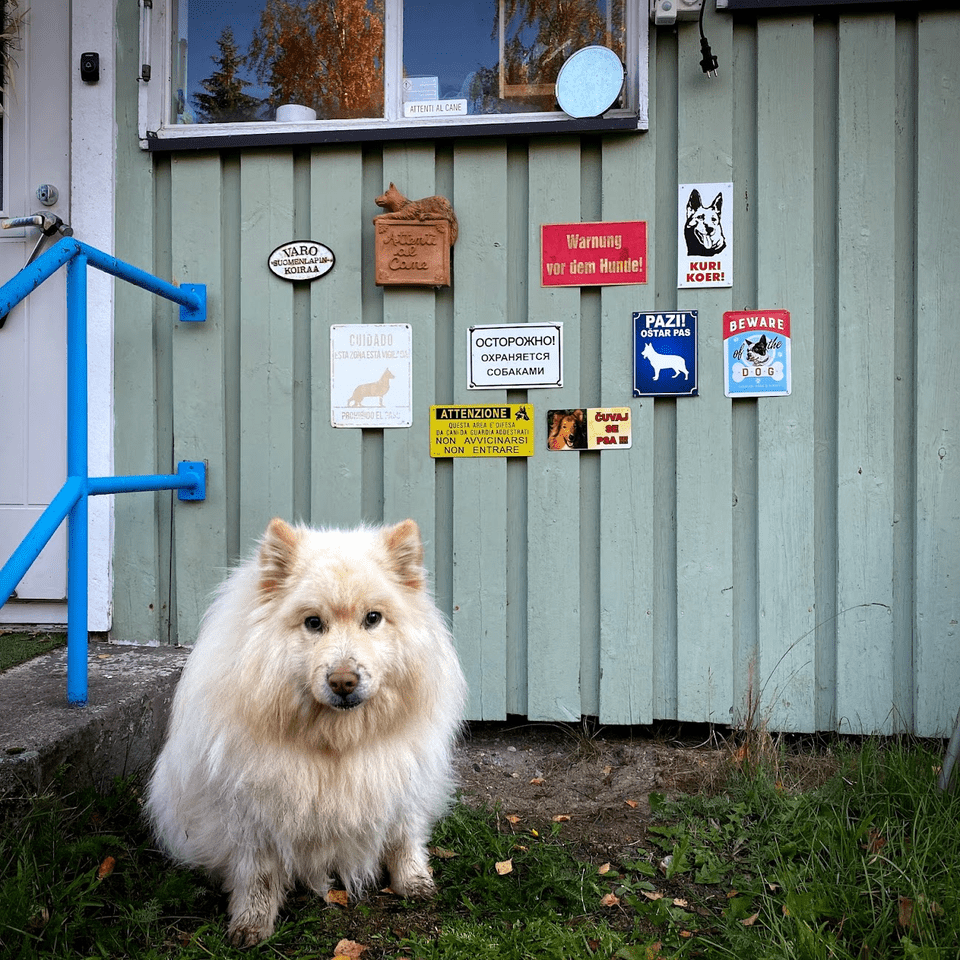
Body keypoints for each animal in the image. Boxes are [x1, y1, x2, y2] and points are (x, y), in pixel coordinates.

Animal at [144, 516, 466, 944]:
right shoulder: (252, 814)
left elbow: (403, 836)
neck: (335, 742)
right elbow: (259, 874)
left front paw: (413, 881)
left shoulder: (401, 780)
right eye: (313, 623)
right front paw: (251, 922)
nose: (343, 681)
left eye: (373, 618)